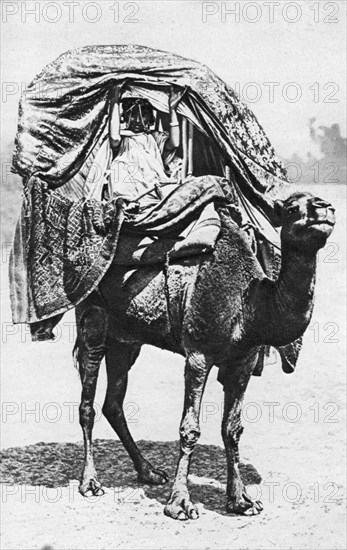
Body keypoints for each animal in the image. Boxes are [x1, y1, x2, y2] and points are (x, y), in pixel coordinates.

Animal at [75, 193, 336, 520]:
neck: (250, 305)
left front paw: (242, 500)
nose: (323, 207)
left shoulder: (243, 362)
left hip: (126, 340)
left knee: (113, 402)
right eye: (290, 208)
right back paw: (90, 482)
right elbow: (189, 429)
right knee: (88, 400)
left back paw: (149, 472)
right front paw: (180, 503)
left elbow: (232, 429)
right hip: (93, 317)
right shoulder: (198, 354)